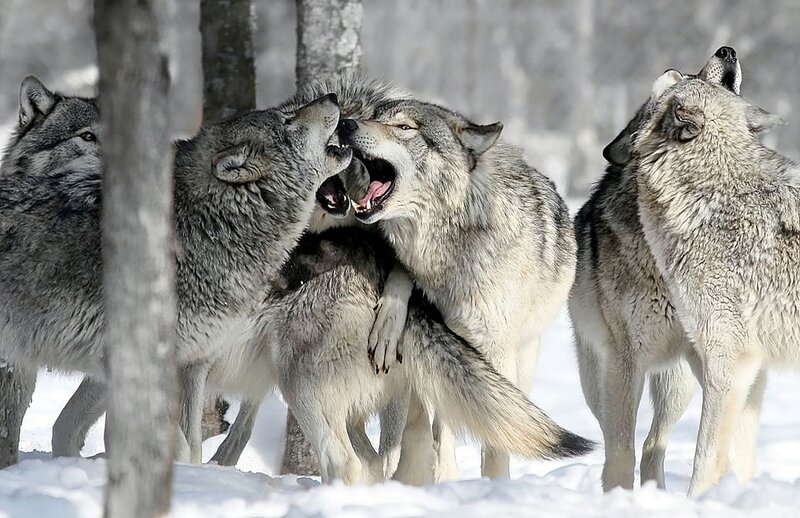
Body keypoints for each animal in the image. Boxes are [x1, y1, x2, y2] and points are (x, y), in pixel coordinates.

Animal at [0, 76, 349, 463]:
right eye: (287, 120)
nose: (333, 96)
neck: (205, 223)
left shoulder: (192, 364)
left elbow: (192, 444)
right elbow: (177, 444)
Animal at [338, 96, 577, 481]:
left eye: (404, 127)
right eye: (374, 117)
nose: (344, 124)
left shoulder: (494, 348)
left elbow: (495, 440)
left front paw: (493, 485)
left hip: (520, 362)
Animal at [568, 47, 765, 492]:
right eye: (678, 78)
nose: (726, 50)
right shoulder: (625, 361)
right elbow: (620, 450)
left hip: (678, 382)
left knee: (655, 443)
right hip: (598, 380)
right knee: (621, 439)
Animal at [633, 75, 790, 496]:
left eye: (675, 86)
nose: (673, 71)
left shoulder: (729, 360)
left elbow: (705, 459)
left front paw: (696, 501)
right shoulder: (747, 367)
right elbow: (738, 456)